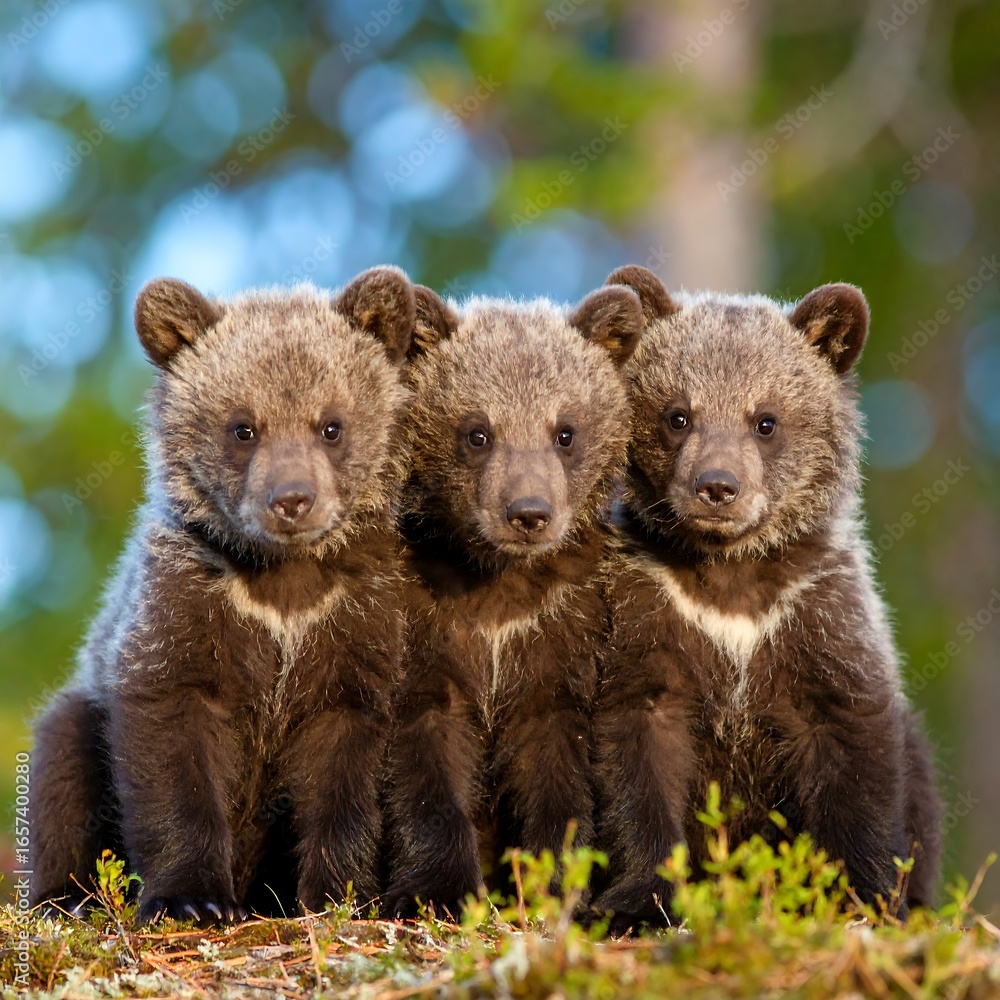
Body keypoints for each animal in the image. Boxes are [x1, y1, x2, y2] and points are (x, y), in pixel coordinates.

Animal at [29, 267, 416, 925]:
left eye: (331, 425)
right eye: (243, 426)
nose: (292, 499)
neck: (281, 585)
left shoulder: (356, 626)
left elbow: (347, 769)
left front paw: (336, 894)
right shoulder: (184, 610)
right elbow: (172, 748)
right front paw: (191, 897)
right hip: (81, 710)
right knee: (61, 762)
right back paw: (65, 899)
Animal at [383, 283, 645, 918]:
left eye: (565, 431)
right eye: (477, 432)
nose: (528, 512)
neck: (498, 590)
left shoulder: (561, 634)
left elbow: (555, 767)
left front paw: (555, 881)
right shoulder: (426, 626)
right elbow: (425, 759)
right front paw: (437, 887)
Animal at [590, 265, 942, 932]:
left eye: (766, 420)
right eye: (678, 415)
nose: (717, 486)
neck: (732, 582)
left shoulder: (819, 619)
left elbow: (853, 760)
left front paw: (864, 895)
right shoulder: (647, 616)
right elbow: (636, 757)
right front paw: (637, 899)